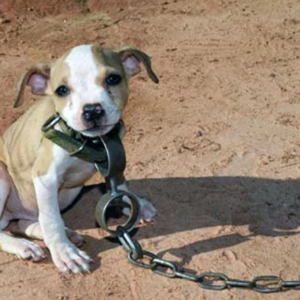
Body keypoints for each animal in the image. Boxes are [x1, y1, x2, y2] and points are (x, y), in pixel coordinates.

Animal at [0, 44, 159, 272]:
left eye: (113, 79)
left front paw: (134, 204)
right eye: (62, 90)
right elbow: (52, 221)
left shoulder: (114, 157)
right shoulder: (45, 177)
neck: (91, 142)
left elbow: (119, 185)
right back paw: (24, 245)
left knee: (23, 223)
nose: (92, 110)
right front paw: (66, 254)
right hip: (2, 175)